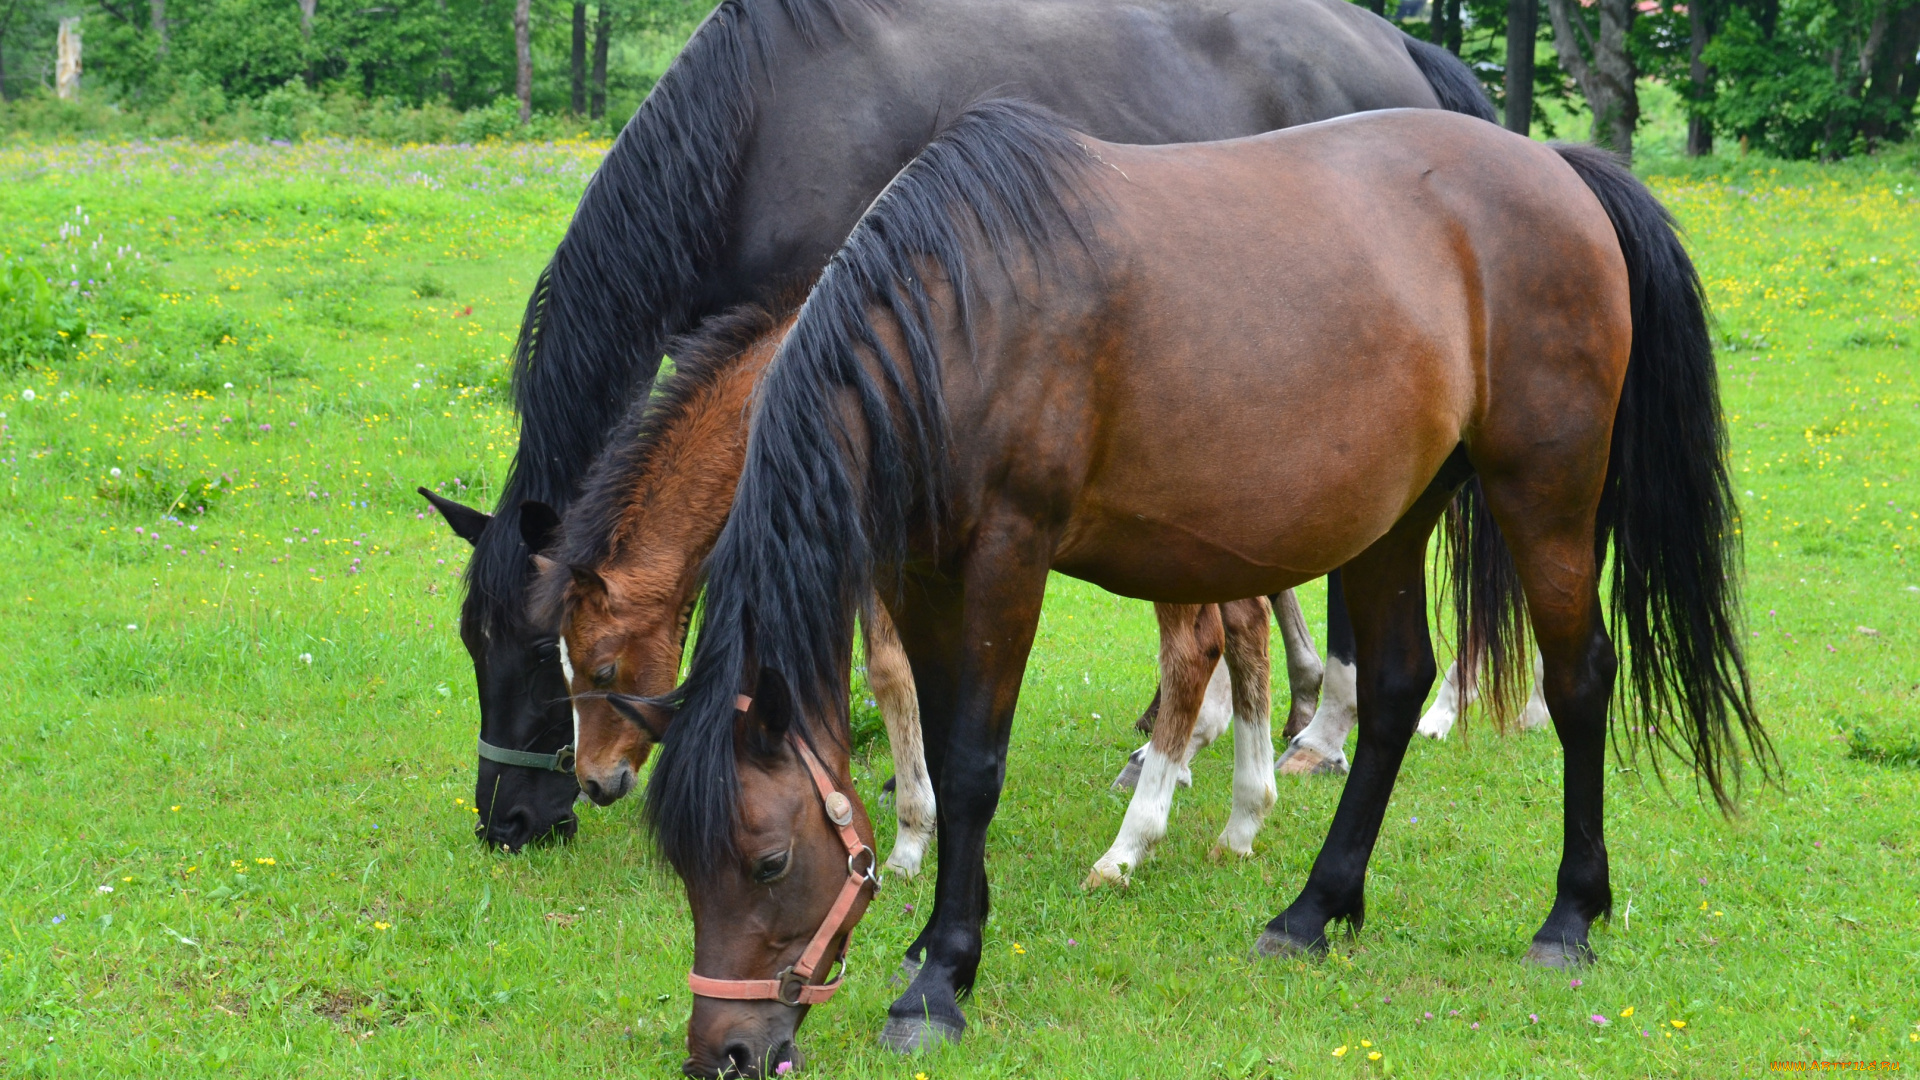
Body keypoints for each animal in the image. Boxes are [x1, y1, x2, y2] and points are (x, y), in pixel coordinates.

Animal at [522, 297, 1305, 880]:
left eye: (601, 668)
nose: (594, 781)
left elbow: (887, 676)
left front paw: (904, 839)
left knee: (1195, 648)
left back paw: (1130, 845)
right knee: (1246, 622)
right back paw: (1245, 814)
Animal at [641, 98, 1766, 1068]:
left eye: (769, 862)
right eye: (684, 866)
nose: (727, 1053)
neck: (958, 321)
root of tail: (1561, 169)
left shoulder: (1009, 554)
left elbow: (971, 766)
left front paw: (938, 983)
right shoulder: (922, 571)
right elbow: (931, 725)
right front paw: (933, 943)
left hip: (1545, 497)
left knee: (1579, 681)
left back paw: (1569, 917)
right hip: (1396, 515)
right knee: (1396, 688)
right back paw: (1314, 911)